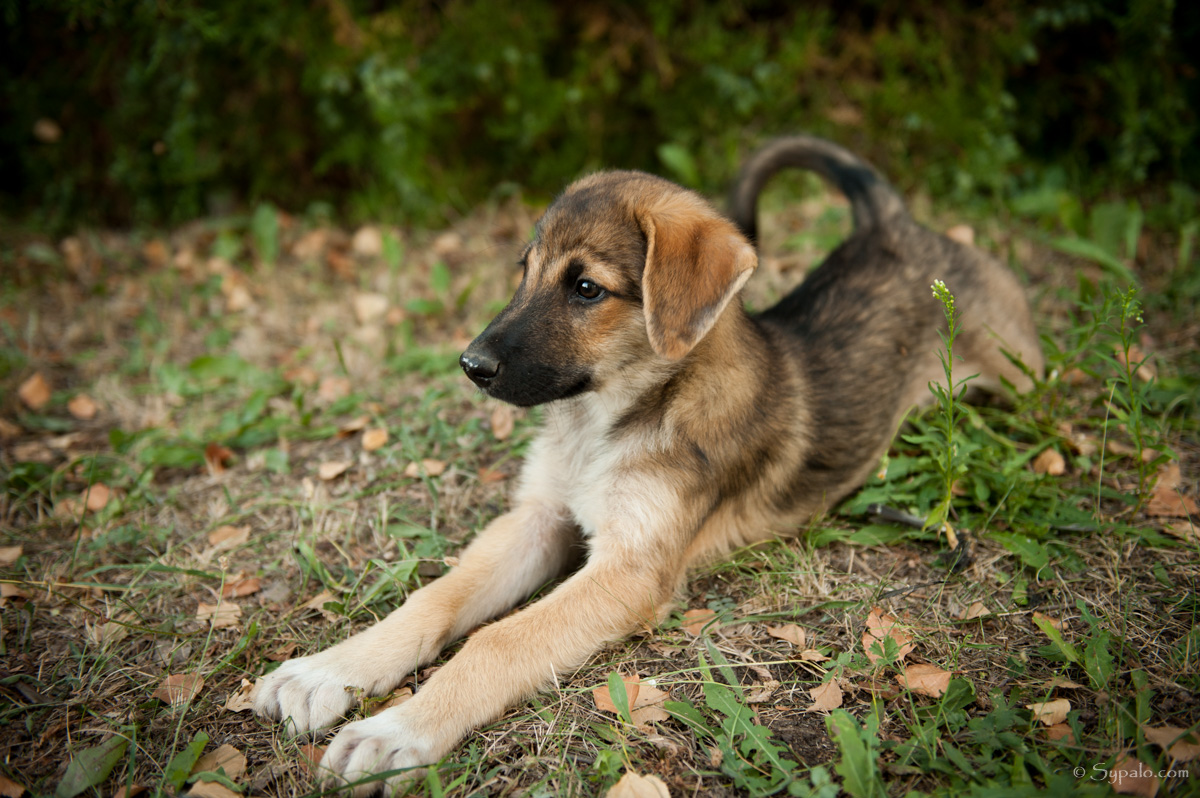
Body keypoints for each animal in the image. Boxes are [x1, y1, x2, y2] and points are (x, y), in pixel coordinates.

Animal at [253, 133, 1041, 787]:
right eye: (525, 273)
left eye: (586, 288)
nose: (470, 366)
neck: (612, 420)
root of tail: (892, 224)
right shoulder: (539, 519)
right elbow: (436, 598)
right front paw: (328, 672)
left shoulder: (630, 570)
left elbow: (498, 641)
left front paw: (396, 732)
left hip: (1022, 380)